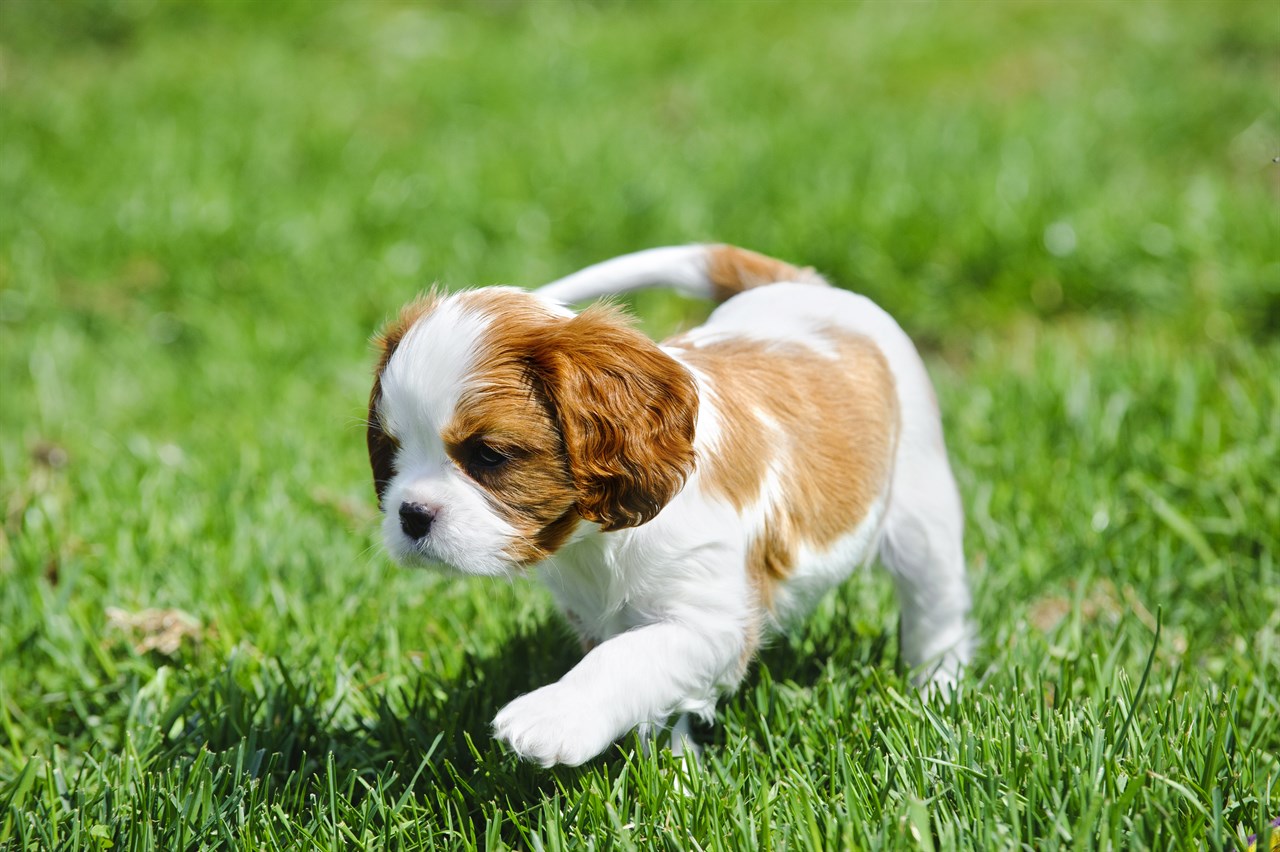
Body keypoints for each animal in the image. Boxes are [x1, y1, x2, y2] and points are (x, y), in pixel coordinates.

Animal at [366, 244, 972, 762]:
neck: (593, 544)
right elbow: (648, 686)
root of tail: (800, 284)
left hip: (923, 508)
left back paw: (936, 693)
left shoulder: (712, 620)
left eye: (489, 455)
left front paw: (555, 718)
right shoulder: (598, 616)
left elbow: (627, 660)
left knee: (936, 611)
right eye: (392, 453)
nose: (411, 515)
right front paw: (672, 771)